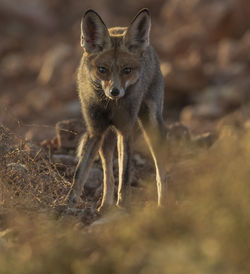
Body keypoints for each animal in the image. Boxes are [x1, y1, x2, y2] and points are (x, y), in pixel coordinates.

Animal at [67, 8, 167, 210]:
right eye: (102, 69)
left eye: (127, 70)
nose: (115, 91)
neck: (110, 106)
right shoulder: (95, 130)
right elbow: (81, 171)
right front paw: (68, 202)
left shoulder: (125, 129)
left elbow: (125, 174)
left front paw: (122, 205)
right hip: (106, 138)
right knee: (107, 172)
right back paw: (105, 204)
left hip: (151, 125)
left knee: (159, 167)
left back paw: (162, 203)